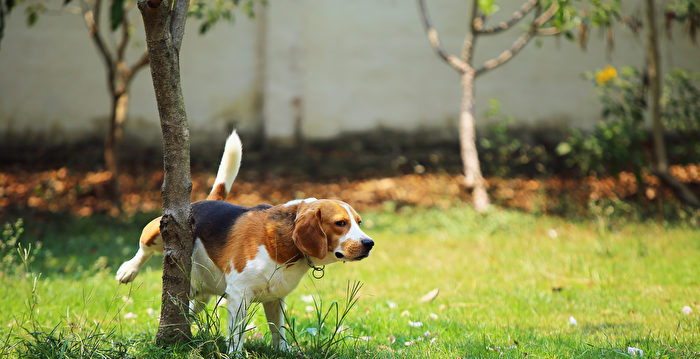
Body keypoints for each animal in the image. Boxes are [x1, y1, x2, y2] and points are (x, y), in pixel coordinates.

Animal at [115, 131, 374, 354]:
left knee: (191, 309)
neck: (286, 243)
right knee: (143, 248)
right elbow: (237, 334)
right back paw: (128, 270)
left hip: (201, 293)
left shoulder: (275, 299)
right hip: (159, 230)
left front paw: (283, 352)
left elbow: (278, 330)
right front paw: (236, 354)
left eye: (359, 221)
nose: (369, 243)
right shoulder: (239, 296)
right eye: (340, 223)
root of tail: (208, 201)